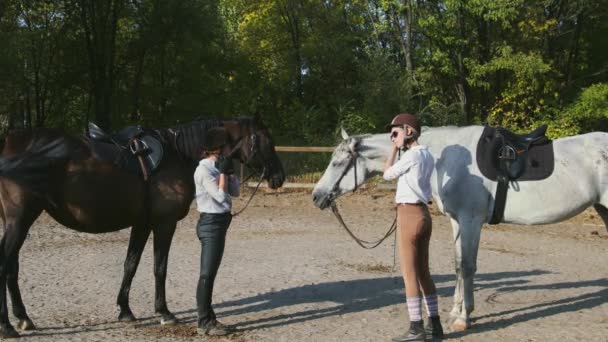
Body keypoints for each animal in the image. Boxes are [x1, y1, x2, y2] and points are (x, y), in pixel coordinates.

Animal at [0, 116, 284, 338]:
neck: (178, 155)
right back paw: (8, 327)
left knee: (12, 267)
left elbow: (131, 265)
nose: (279, 177)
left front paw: (125, 310)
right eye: (267, 140)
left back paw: (23, 318)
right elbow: (160, 268)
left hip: (20, 222)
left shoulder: (142, 224)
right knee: (6, 265)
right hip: (20, 220)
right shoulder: (164, 224)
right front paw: (164, 312)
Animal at [314, 125, 608, 332]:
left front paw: (463, 319)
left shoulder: (470, 220)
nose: (317, 196)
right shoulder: (458, 221)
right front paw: (457, 311)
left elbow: (467, 266)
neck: (444, 159)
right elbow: (458, 264)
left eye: (338, 163)